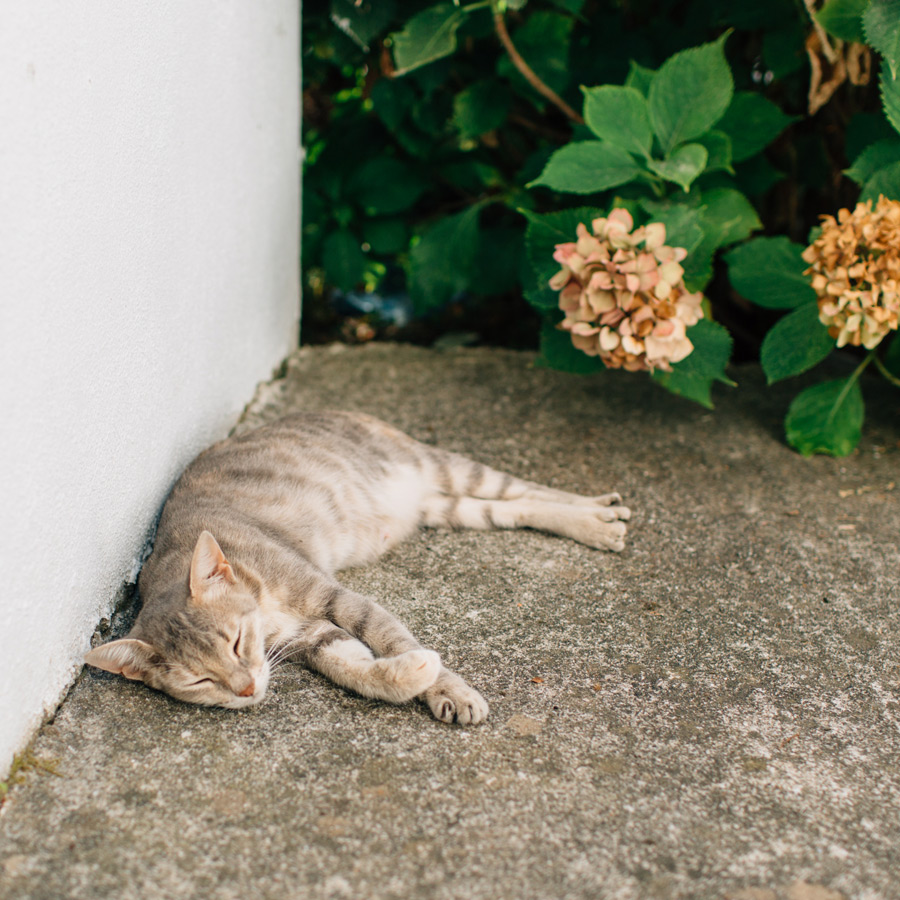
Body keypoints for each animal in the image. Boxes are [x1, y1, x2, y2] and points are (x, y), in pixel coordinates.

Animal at [88, 412, 628, 728]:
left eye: (236, 642)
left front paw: (448, 687)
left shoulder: (334, 597)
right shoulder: (312, 638)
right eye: (199, 681)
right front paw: (410, 676)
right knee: (516, 509)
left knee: (530, 489)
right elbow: (356, 667)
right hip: (450, 506)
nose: (245, 689)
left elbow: (392, 637)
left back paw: (599, 515)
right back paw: (597, 521)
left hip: (447, 468)